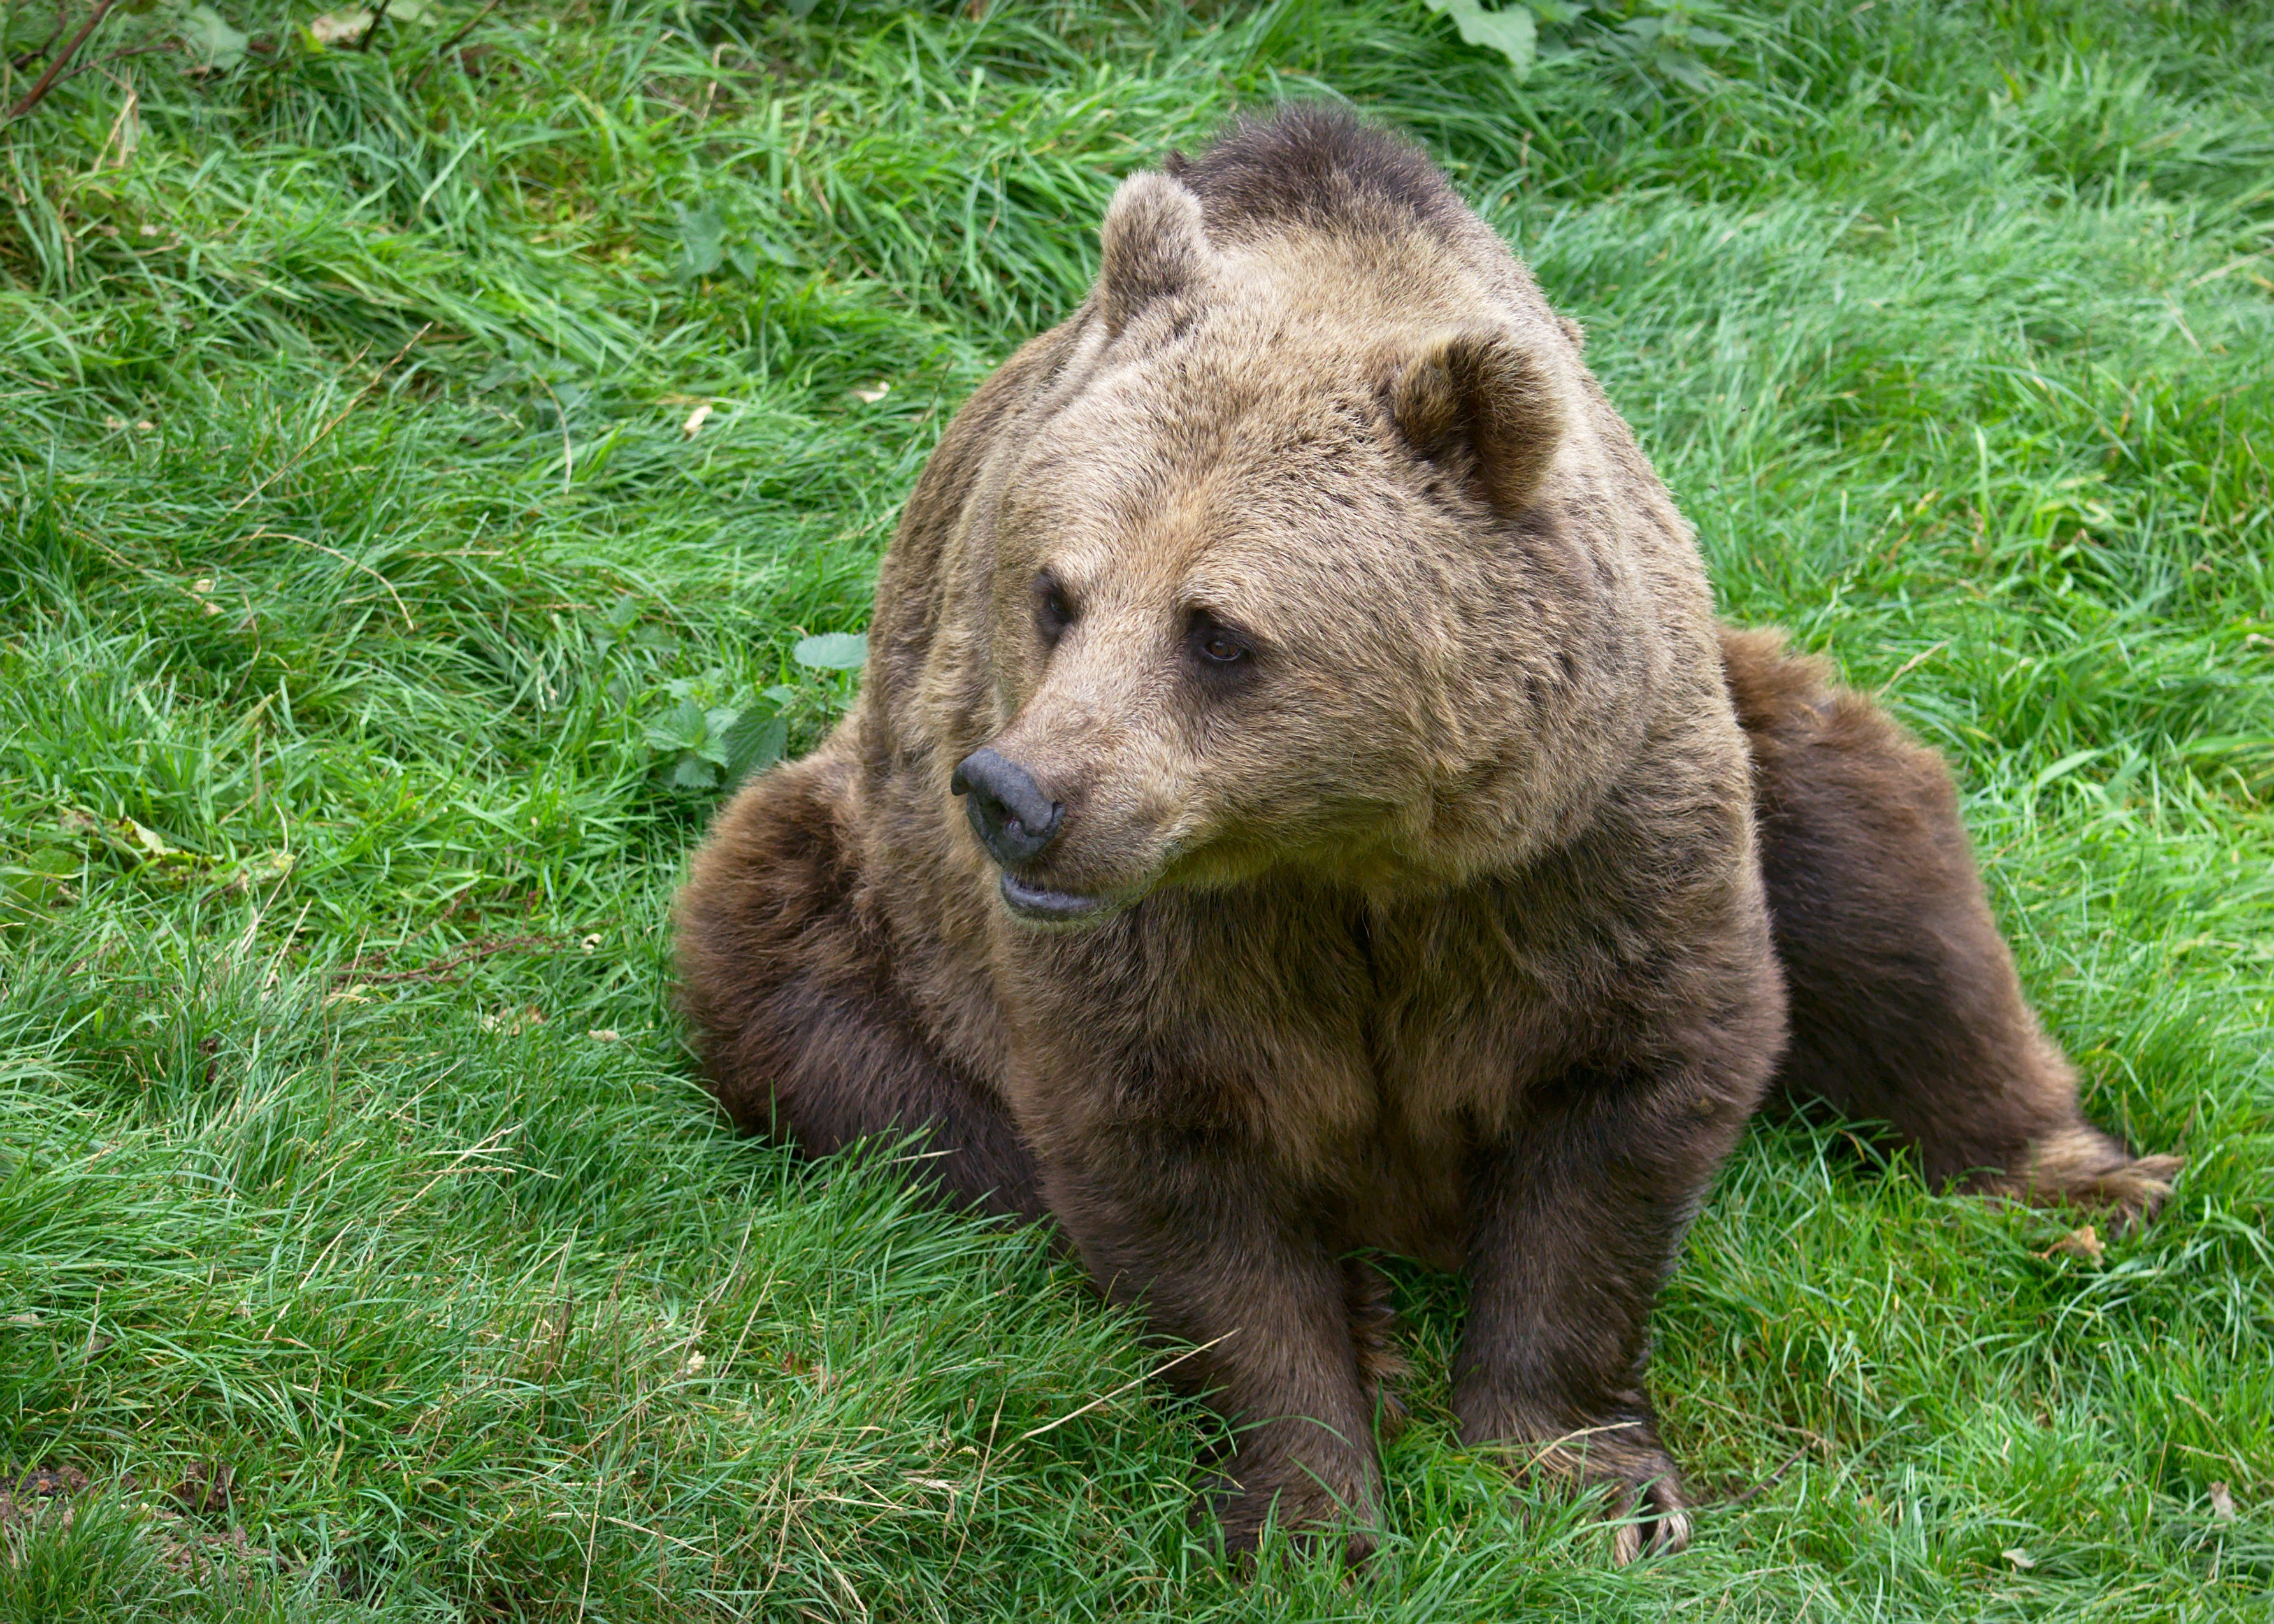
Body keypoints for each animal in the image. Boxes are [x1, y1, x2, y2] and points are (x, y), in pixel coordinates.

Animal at [677, 111, 2183, 1555]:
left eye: (1215, 631)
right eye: (1055, 591)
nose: (1016, 794)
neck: (1348, 850)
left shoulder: (1578, 843)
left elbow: (1623, 1090)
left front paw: (1577, 1471)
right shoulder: (1175, 939)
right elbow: (1171, 1162)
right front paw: (1310, 1494)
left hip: (1755, 730)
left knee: (1883, 878)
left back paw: (2082, 1180)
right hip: (866, 885)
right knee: (840, 1042)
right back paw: (1367, 1317)